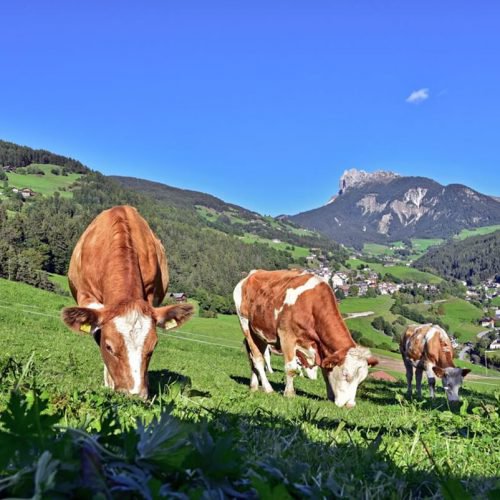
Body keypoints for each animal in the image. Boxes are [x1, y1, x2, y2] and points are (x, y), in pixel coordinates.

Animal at [234, 270, 378, 406]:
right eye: (345, 374)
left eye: (361, 380)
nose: (350, 405)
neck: (311, 305)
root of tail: (252, 274)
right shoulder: (287, 336)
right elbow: (291, 368)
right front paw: (289, 393)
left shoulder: (322, 349)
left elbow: (326, 373)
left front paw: (330, 396)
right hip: (245, 324)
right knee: (258, 359)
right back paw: (268, 388)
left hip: (261, 334)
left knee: (252, 357)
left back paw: (253, 385)